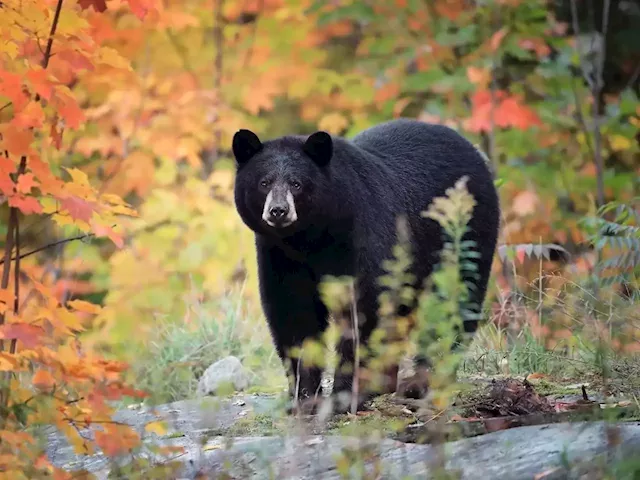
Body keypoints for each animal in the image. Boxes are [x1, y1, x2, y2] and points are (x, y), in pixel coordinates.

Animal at [230, 119, 500, 412]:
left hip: (465, 235)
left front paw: (345, 395)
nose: (278, 211)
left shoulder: (362, 235)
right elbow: (293, 313)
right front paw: (303, 397)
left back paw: (424, 381)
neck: (311, 238)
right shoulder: (280, 256)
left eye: (297, 183)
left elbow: (364, 308)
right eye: (264, 182)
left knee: (455, 300)